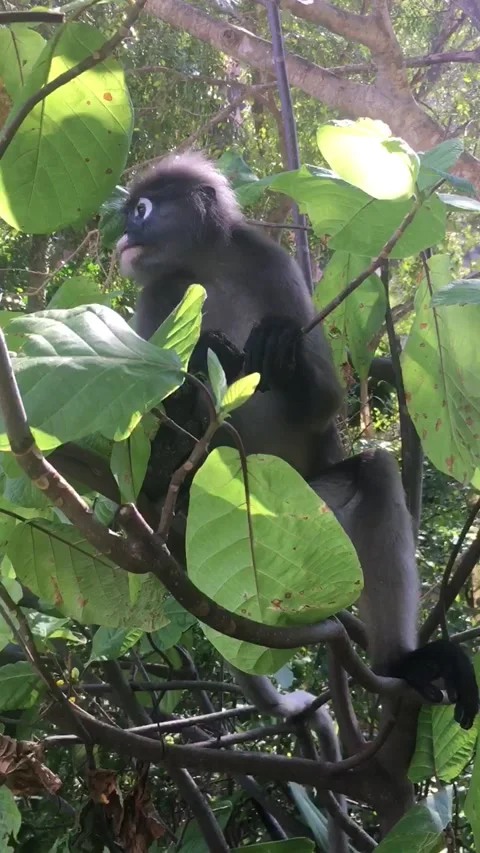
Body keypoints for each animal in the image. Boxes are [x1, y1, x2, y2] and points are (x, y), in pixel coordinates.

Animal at [116, 152, 478, 730]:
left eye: (141, 211)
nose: (123, 235)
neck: (206, 267)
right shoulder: (158, 297)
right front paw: (177, 417)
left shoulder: (269, 261)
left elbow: (327, 398)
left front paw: (278, 352)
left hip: (307, 511)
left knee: (376, 472)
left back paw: (400, 663)